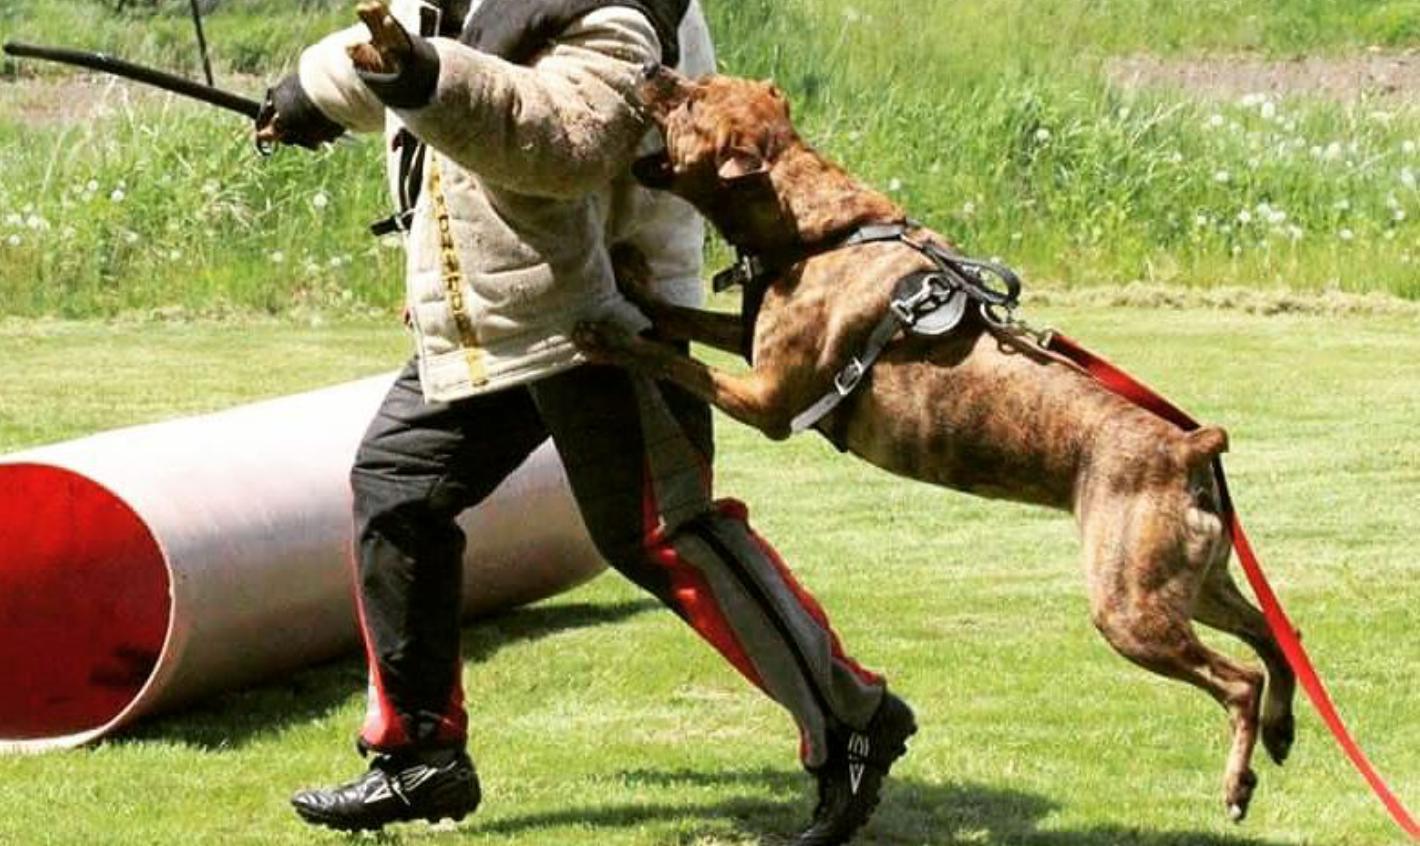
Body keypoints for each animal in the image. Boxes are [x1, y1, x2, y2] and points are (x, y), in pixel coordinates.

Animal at [572, 64, 1298, 822]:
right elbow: (678, 318)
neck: (813, 228)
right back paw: (1281, 728)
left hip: (1129, 604)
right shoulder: (747, 345)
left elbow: (671, 360)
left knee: (1240, 677)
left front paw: (606, 337)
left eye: (690, 103)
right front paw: (632, 281)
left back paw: (1238, 782)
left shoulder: (766, 398)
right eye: (702, 82)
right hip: (1194, 579)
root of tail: (1191, 449)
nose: (651, 69)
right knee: (1276, 635)